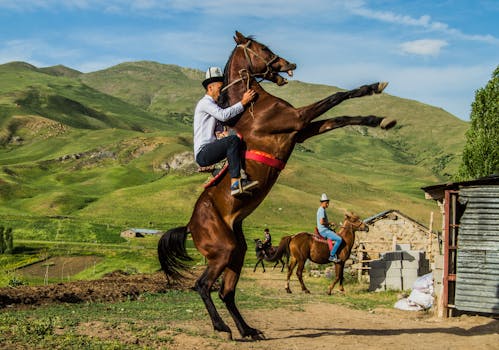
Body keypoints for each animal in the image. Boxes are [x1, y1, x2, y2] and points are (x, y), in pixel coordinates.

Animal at [158, 30, 396, 340]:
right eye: (262, 48)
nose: (289, 64)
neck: (253, 106)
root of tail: (190, 225)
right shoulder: (297, 120)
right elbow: (335, 98)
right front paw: (375, 93)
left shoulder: (302, 130)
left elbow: (340, 117)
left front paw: (380, 116)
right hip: (222, 253)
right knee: (203, 286)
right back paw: (223, 327)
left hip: (236, 253)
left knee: (226, 293)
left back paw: (248, 330)